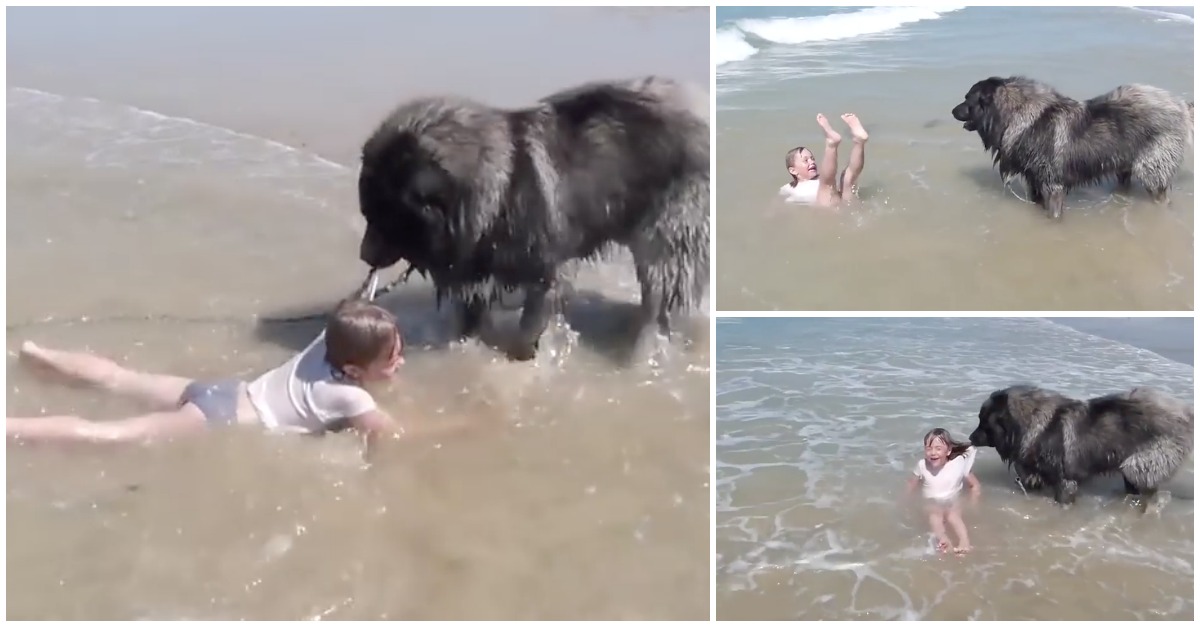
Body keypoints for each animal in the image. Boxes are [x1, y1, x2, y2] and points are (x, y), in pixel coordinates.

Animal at [355, 76, 710, 360]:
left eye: (388, 217)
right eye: (368, 213)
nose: (363, 255)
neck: (498, 189)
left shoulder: (549, 273)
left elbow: (528, 328)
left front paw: (521, 359)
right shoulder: (476, 275)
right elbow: (471, 322)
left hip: (666, 242)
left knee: (660, 298)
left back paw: (644, 348)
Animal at [950, 76, 1195, 219]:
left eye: (967, 99)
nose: (952, 110)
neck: (1017, 114)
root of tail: (1180, 106)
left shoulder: (1052, 185)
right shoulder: (1035, 180)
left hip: (1152, 170)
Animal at [969, 381, 1195, 504]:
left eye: (984, 422)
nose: (970, 438)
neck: (1034, 423)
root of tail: (1186, 413)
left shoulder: (1065, 482)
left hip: (1138, 465)